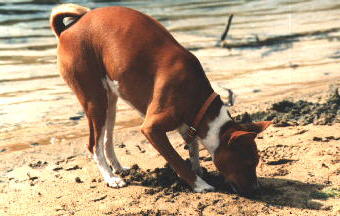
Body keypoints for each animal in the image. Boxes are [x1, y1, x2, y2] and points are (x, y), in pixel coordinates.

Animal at [49, 3, 270, 195]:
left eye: (256, 163)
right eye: (247, 163)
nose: (257, 189)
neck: (198, 100)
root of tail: (67, 30)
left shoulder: (187, 124)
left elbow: (193, 148)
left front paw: (198, 169)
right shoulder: (152, 128)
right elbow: (177, 160)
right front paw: (199, 184)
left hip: (109, 103)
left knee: (106, 141)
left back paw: (118, 169)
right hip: (95, 100)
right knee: (94, 145)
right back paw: (111, 178)